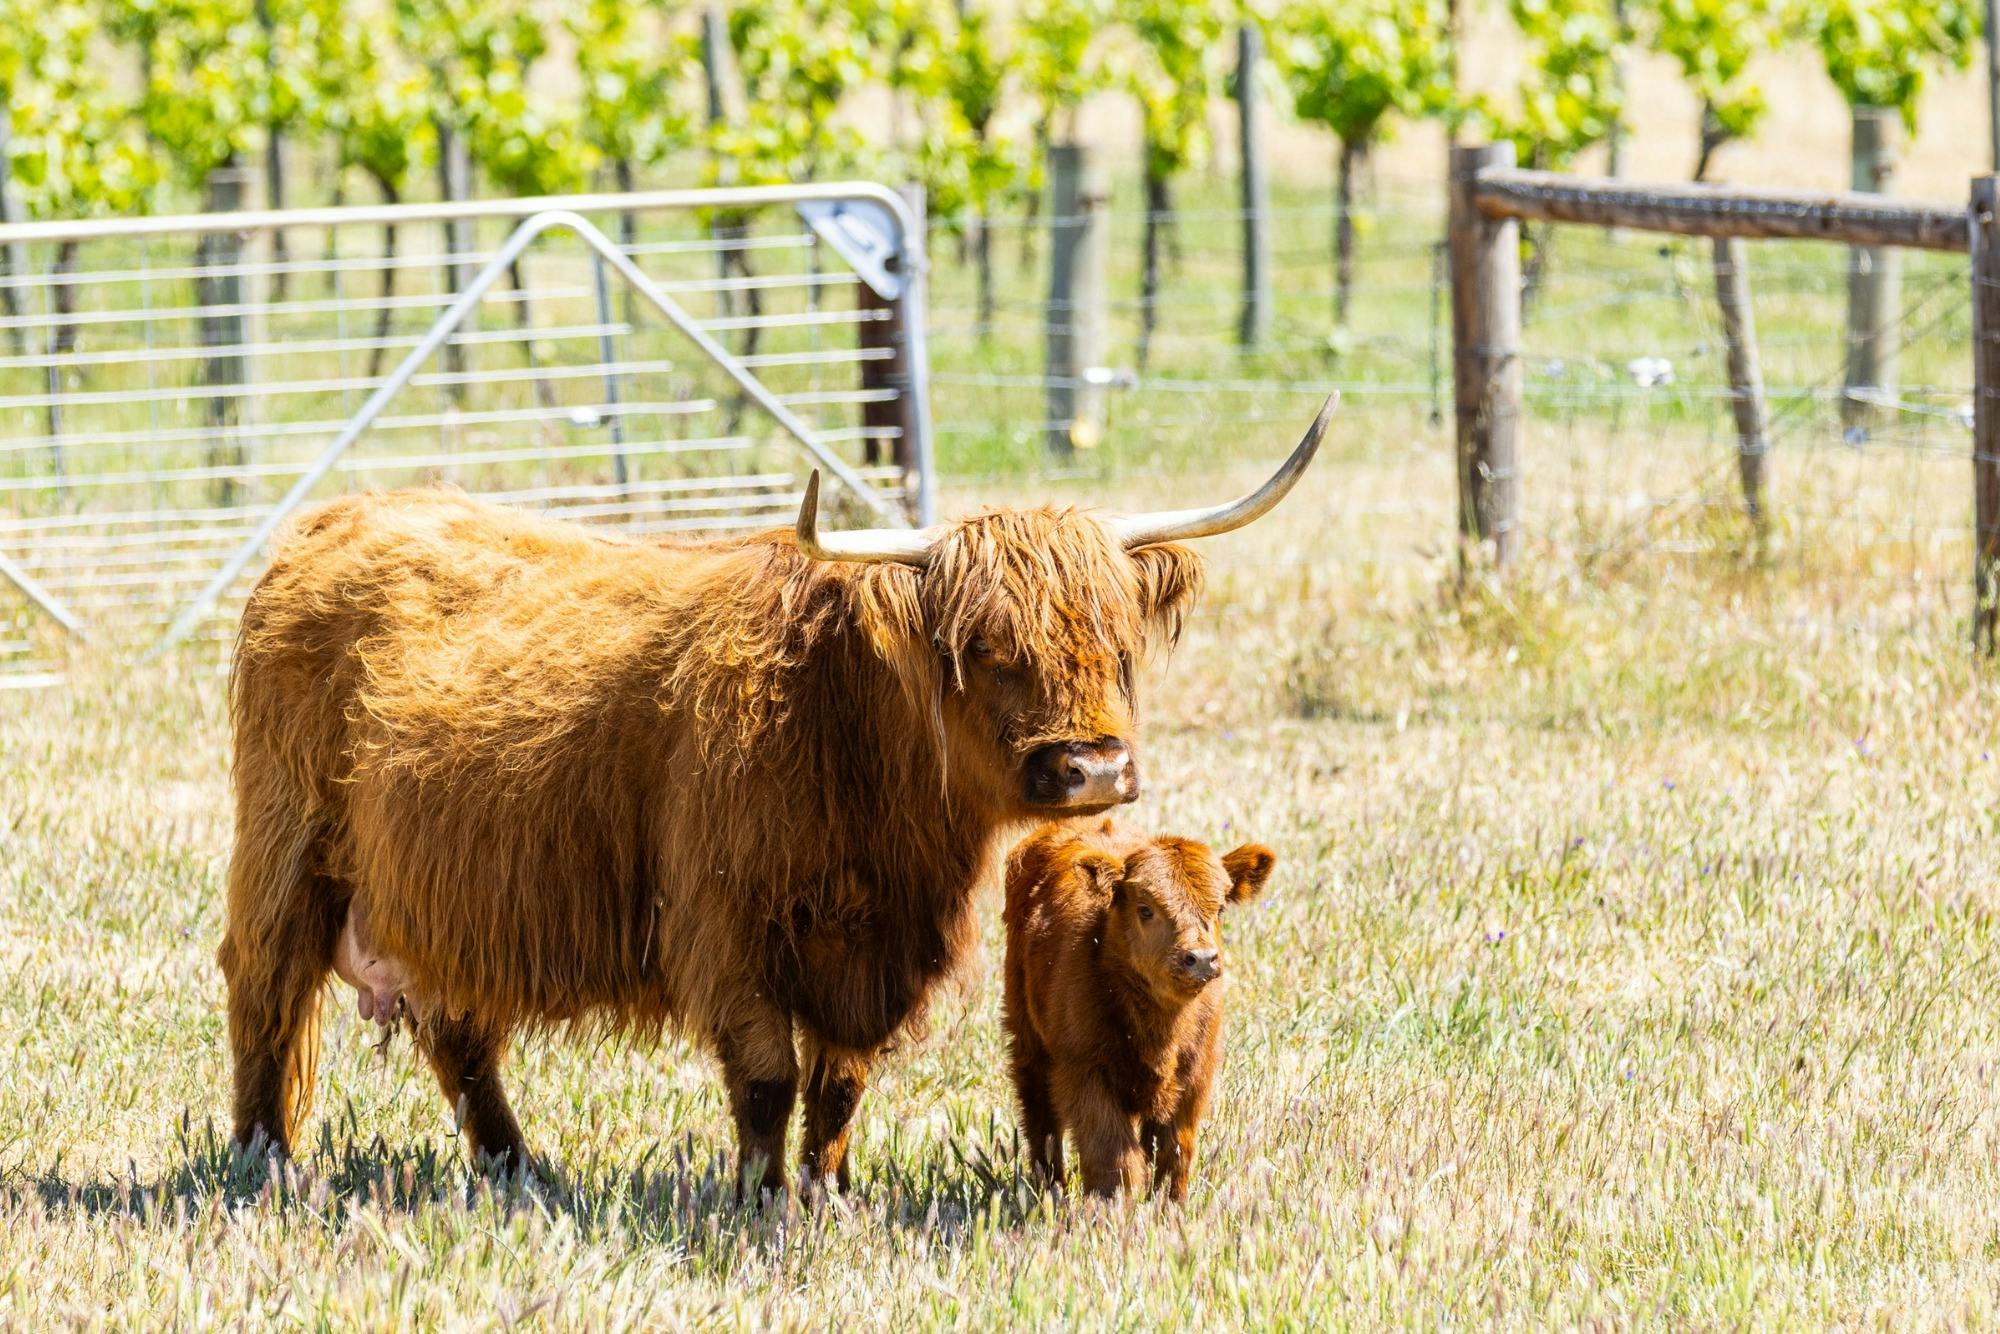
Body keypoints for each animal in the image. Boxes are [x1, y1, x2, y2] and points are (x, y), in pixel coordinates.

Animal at [1001, 819, 1276, 1200]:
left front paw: (1168, 1205)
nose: (1201, 959)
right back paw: (1049, 1188)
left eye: (1219, 909)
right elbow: (1114, 1156)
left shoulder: (1194, 1077)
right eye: (1145, 909)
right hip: (1027, 1039)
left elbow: (1174, 1151)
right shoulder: (1085, 1071)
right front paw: (1113, 1206)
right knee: (1041, 1117)